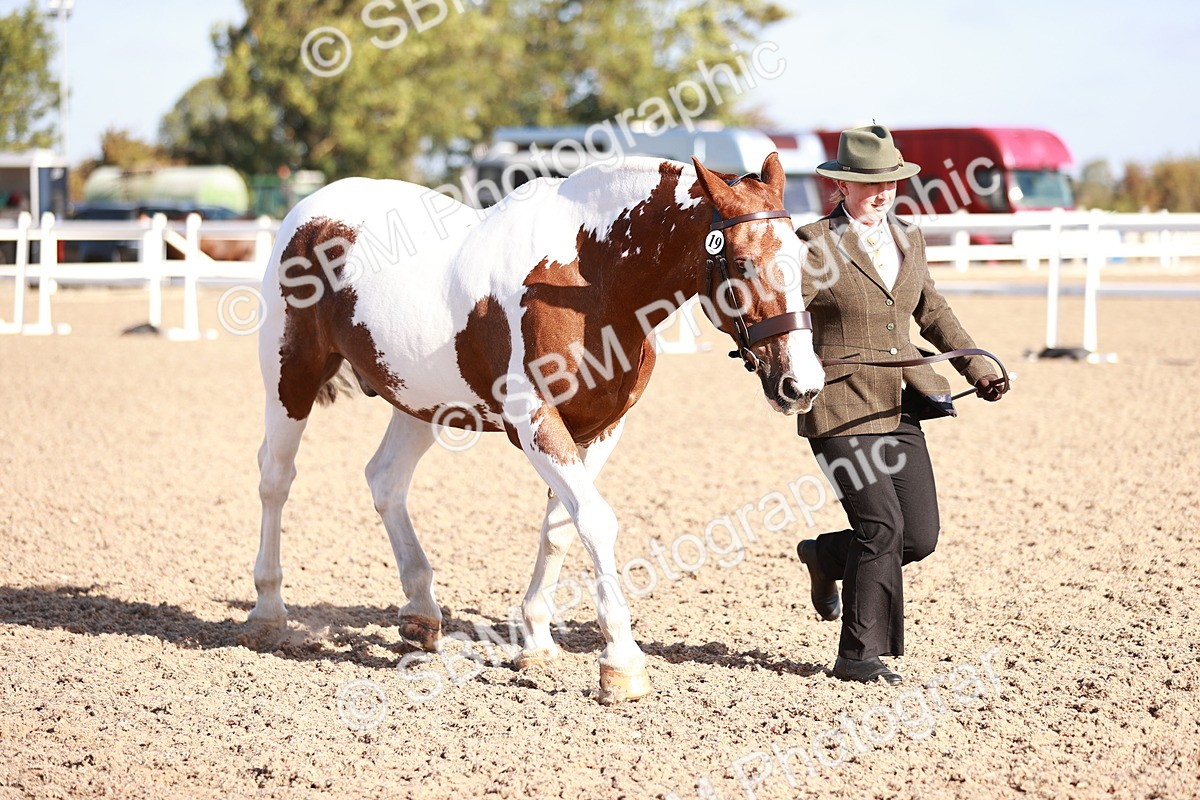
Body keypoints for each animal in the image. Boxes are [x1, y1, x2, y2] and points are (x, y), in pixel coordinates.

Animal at [250, 152, 826, 704]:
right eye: (742, 262)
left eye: (800, 259)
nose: (802, 384)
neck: (590, 280)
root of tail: (311, 212)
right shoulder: (535, 420)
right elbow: (596, 521)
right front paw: (621, 664)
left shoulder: (600, 429)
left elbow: (561, 528)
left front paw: (537, 644)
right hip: (291, 377)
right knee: (276, 478)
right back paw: (269, 611)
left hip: (418, 402)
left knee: (385, 480)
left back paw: (420, 612)